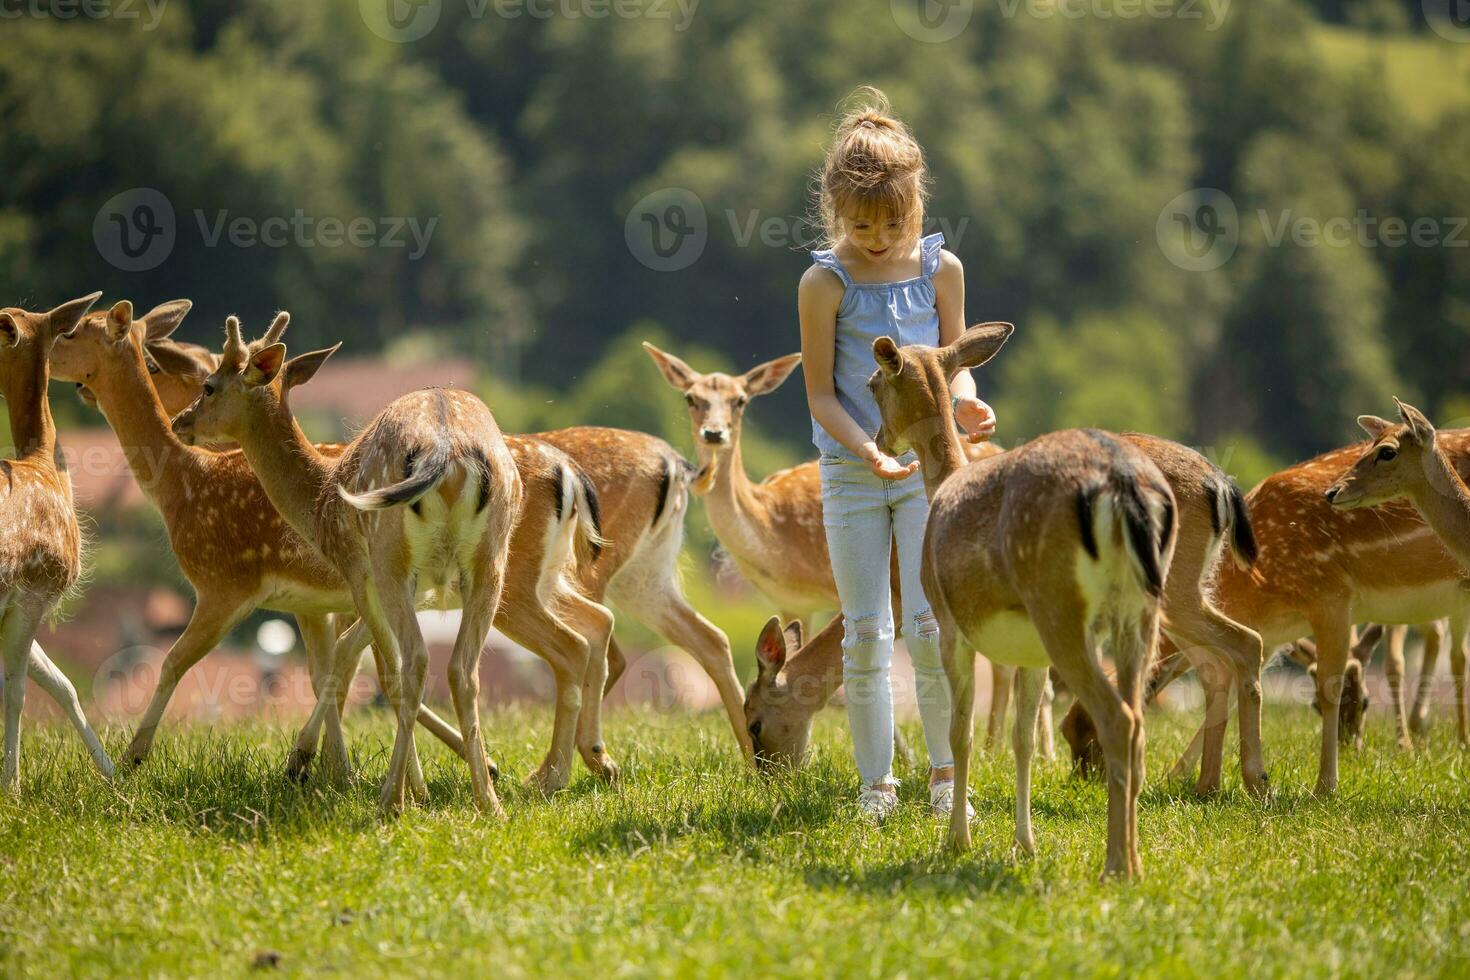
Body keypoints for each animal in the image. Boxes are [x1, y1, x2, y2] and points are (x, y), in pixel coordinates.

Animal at [864, 323, 1176, 881]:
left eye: (874, 383)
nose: (879, 441)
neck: (944, 484)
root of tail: (1122, 485)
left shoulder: (951, 625)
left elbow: (960, 732)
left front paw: (957, 841)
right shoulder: (1031, 654)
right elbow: (1022, 739)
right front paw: (1023, 846)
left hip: (1060, 608)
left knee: (1118, 718)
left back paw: (1115, 866)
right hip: (1139, 614)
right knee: (1139, 722)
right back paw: (1136, 862)